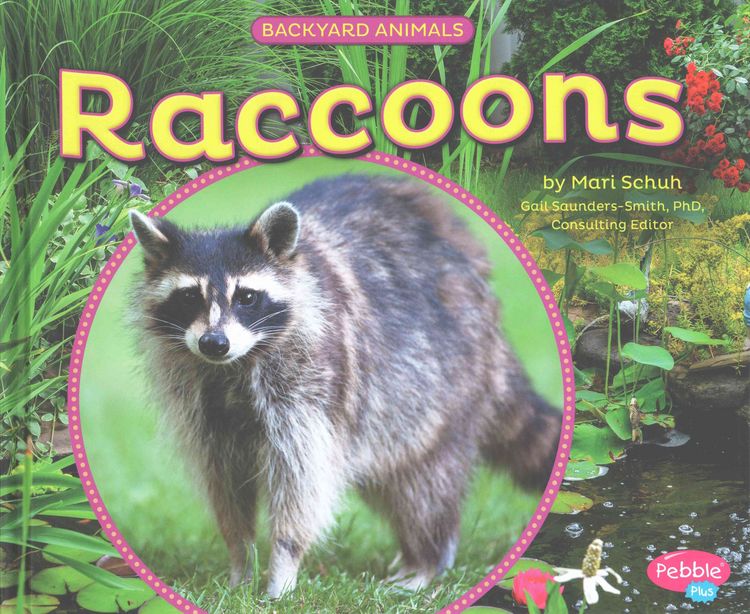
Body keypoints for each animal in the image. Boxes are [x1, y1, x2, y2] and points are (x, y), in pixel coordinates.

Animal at [129, 174, 560, 597]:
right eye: (189, 297)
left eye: (247, 297)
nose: (214, 343)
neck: (234, 364)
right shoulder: (202, 405)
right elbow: (224, 481)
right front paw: (240, 560)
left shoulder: (313, 382)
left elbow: (303, 479)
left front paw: (282, 564)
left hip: (442, 380)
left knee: (423, 481)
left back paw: (426, 558)